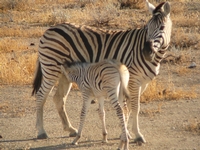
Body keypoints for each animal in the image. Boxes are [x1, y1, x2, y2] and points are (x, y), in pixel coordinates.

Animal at [31, 0, 172, 143]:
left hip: (65, 74)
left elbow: (131, 107)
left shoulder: (143, 83)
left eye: (162, 27)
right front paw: (136, 134)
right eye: (147, 28)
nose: (146, 52)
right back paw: (41, 131)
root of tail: (51, 28)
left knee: (59, 98)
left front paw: (126, 132)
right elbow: (134, 107)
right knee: (41, 95)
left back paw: (70, 129)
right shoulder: (133, 80)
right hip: (51, 68)